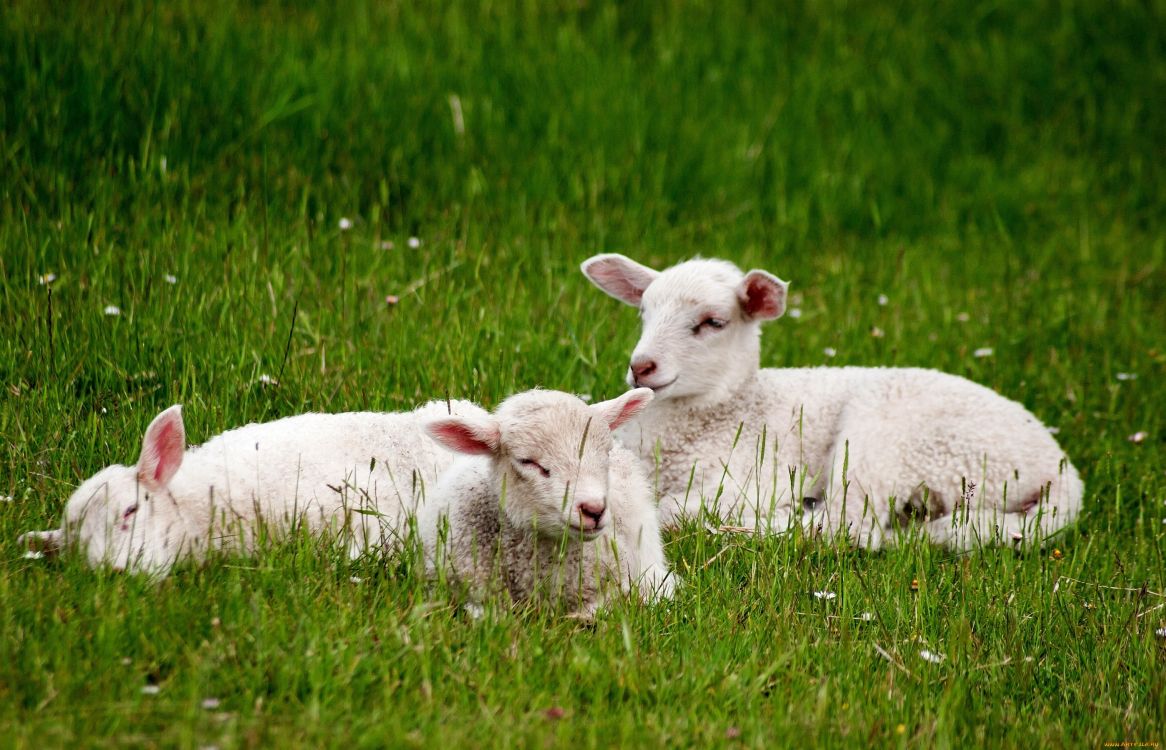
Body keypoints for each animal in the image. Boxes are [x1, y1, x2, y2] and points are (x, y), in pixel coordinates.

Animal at [583, 255, 1082, 555]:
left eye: (712, 323)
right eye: (643, 313)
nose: (641, 367)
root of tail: (1059, 468)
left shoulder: (756, 475)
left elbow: (673, 509)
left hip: (888, 439)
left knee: (851, 526)